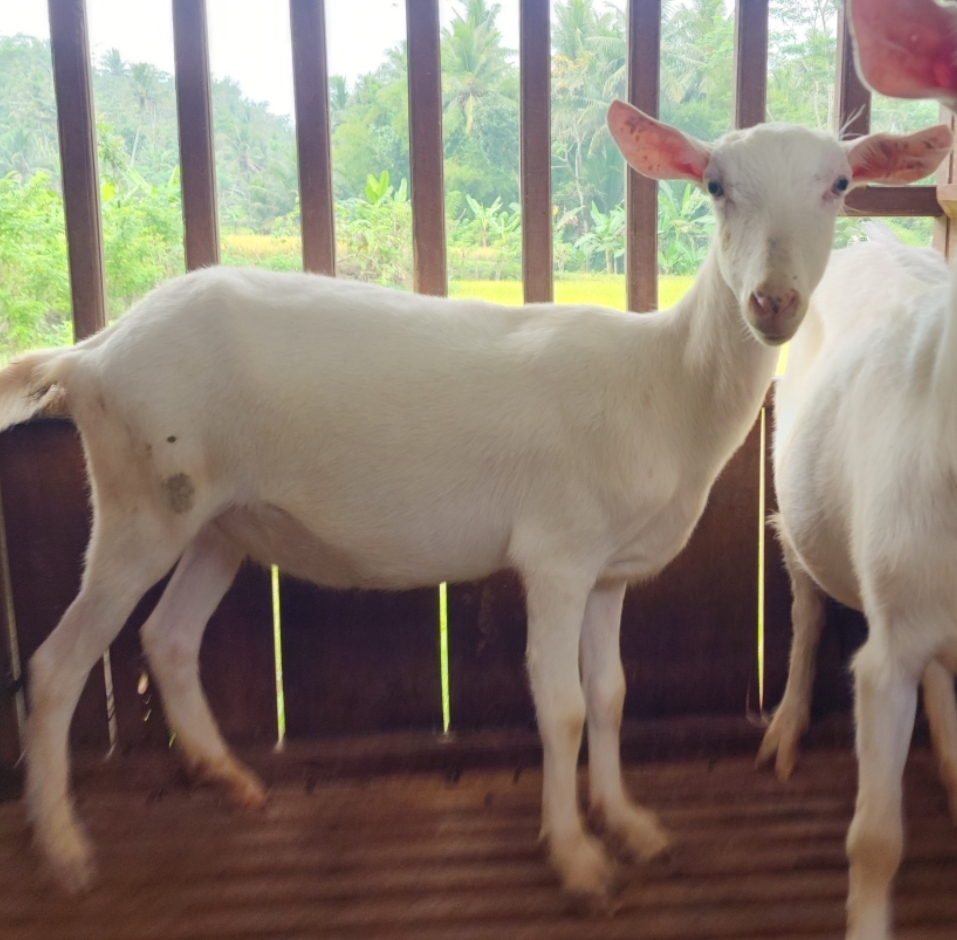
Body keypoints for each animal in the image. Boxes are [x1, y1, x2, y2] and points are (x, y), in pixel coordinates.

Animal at [0, 98, 946, 900]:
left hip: (216, 518)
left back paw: (227, 777)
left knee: (168, 637)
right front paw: (576, 858)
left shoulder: (609, 569)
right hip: (139, 500)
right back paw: (67, 849)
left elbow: (610, 695)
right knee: (57, 665)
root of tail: (89, 353)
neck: (664, 385)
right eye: (714, 185)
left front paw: (629, 824)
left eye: (839, 185)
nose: (773, 301)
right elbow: (560, 707)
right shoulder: (556, 554)